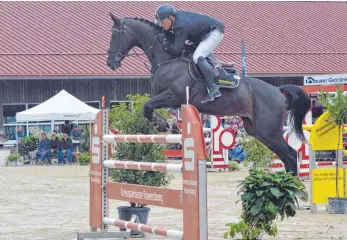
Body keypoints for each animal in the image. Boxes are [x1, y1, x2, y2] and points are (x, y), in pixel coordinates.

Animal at [105, 14, 310, 176]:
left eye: (116, 34)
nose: (110, 64)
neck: (167, 59)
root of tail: (278, 91)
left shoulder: (175, 96)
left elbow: (148, 106)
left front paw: (165, 125)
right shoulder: (167, 98)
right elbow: (149, 108)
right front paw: (166, 125)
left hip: (269, 129)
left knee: (291, 154)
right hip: (257, 130)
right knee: (286, 156)